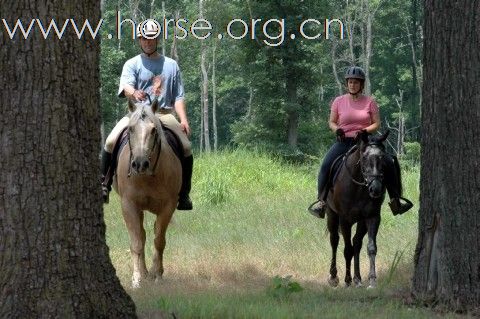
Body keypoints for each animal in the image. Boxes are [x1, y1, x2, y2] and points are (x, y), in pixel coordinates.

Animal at [112, 99, 182, 288]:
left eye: (153, 130)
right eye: (130, 129)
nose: (140, 164)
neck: (147, 176)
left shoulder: (168, 206)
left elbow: (159, 241)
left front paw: (157, 274)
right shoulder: (129, 205)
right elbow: (136, 242)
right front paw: (137, 279)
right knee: (141, 236)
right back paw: (143, 273)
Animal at [326, 130, 390, 290]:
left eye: (382, 157)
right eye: (365, 157)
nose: (375, 189)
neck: (358, 187)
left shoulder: (372, 217)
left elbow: (371, 247)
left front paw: (372, 280)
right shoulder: (344, 220)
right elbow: (347, 250)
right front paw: (347, 280)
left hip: (361, 221)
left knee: (356, 243)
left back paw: (358, 279)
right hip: (332, 215)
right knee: (334, 241)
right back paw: (334, 277)